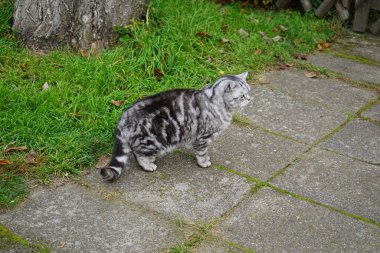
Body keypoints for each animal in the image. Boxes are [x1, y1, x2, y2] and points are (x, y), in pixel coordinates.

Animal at [99, 72, 251, 181]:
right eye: (242, 96)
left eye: (249, 91)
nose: (250, 99)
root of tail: (122, 118)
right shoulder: (203, 136)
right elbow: (202, 152)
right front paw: (203, 162)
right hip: (151, 141)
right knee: (139, 155)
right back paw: (148, 165)